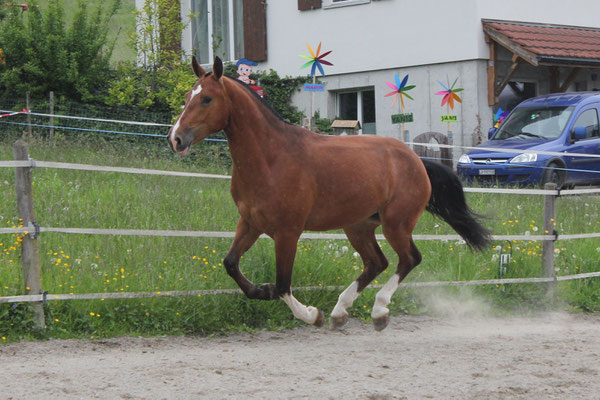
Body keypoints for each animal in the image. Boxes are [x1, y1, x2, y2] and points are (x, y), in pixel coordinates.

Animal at [166, 57, 490, 332]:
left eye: (207, 98)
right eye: (187, 96)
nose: (176, 139)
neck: (271, 158)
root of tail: (416, 160)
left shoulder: (288, 231)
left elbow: (283, 284)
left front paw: (311, 314)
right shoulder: (250, 223)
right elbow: (231, 264)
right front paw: (261, 290)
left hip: (396, 223)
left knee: (409, 259)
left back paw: (378, 312)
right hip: (358, 226)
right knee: (377, 263)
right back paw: (340, 312)